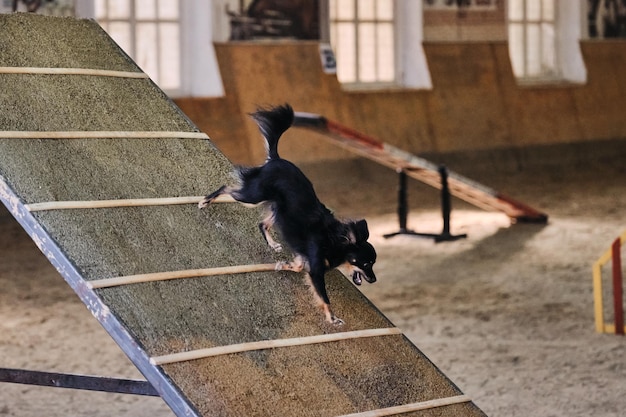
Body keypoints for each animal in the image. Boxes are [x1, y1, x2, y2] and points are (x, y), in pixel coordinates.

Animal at [200, 102, 376, 324]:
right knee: (227, 188)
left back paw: (273, 244)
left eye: (372, 264)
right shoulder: (316, 270)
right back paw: (205, 201)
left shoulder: (304, 260)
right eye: (366, 263)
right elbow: (324, 297)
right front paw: (332, 318)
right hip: (253, 197)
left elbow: (297, 267)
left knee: (262, 224)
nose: (374, 279)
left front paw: (282, 265)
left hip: (276, 208)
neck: (335, 242)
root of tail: (276, 159)